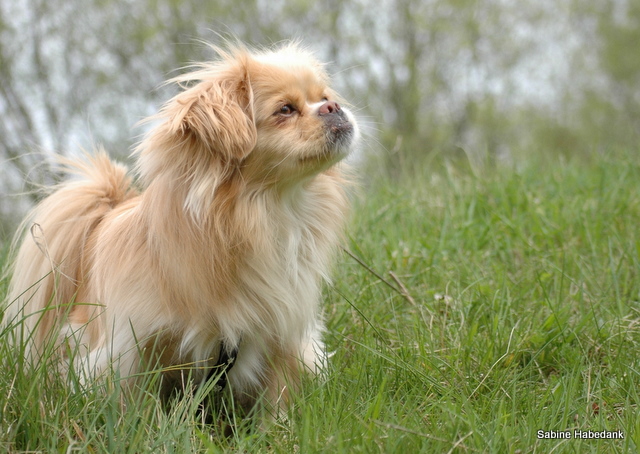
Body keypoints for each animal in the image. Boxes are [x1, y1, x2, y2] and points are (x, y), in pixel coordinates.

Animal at [2, 42, 358, 414]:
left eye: (324, 97)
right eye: (285, 110)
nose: (333, 106)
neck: (264, 214)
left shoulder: (281, 338)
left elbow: (276, 405)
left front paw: (281, 428)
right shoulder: (129, 348)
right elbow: (135, 408)